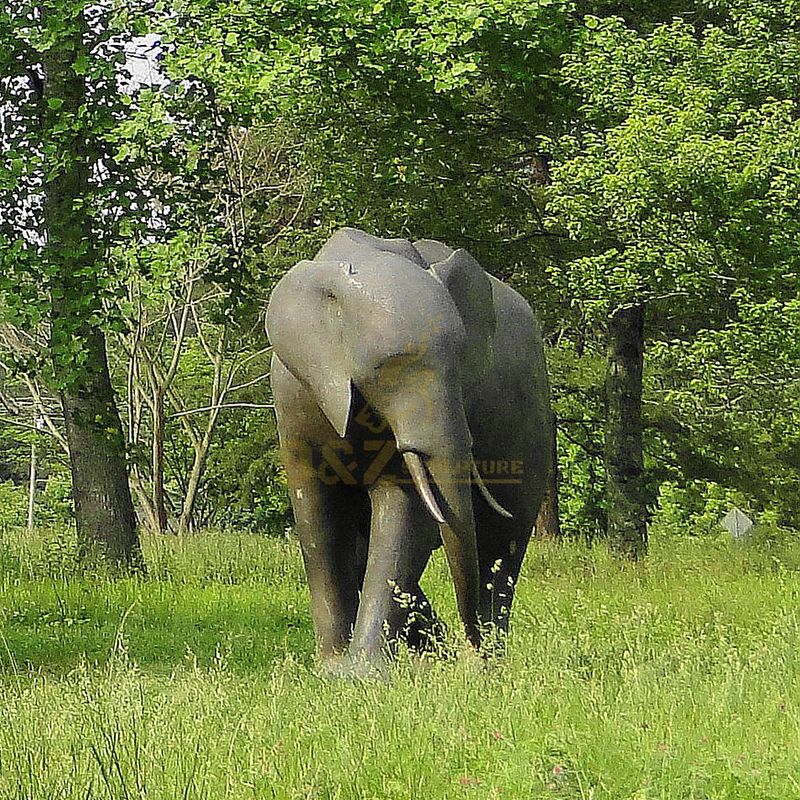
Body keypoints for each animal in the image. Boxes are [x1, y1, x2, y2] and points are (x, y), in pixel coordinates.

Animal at [266, 228, 552, 672]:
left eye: (462, 362)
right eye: (386, 367)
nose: (467, 654)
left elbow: (403, 510)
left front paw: (362, 674)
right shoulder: (297, 394)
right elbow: (317, 515)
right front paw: (332, 670)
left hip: (530, 418)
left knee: (503, 539)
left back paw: (488, 660)